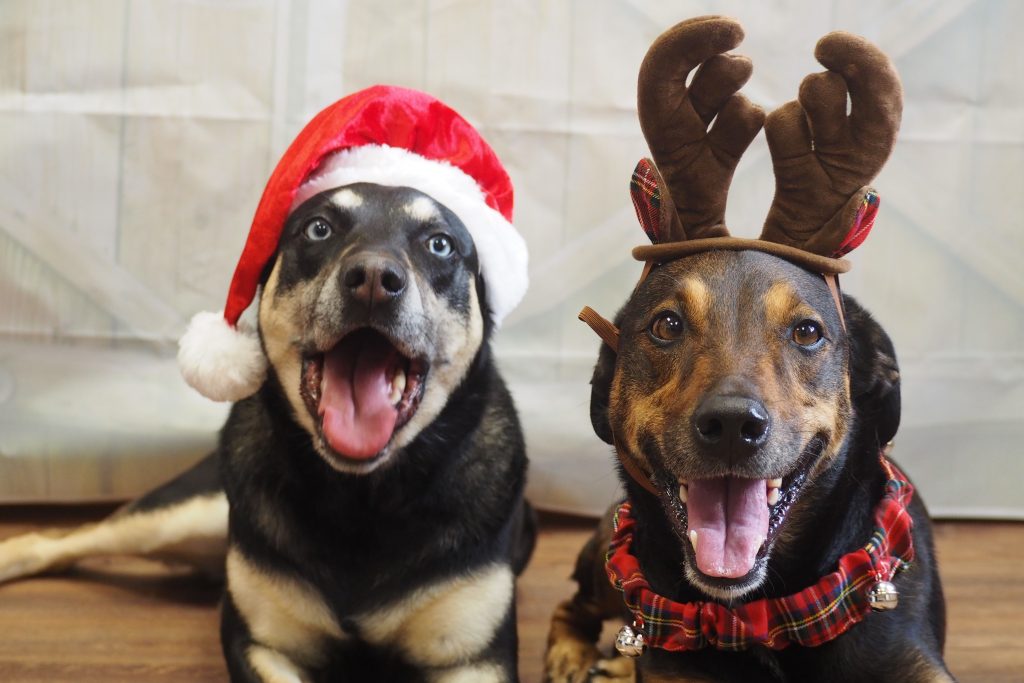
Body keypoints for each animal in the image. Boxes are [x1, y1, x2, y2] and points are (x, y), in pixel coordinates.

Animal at [0, 87, 536, 683]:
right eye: (318, 228)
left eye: (440, 245)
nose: (375, 279)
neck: (362, 497)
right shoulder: (258, 640)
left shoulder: (474, 656)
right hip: (191, 510)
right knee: (63, 537)